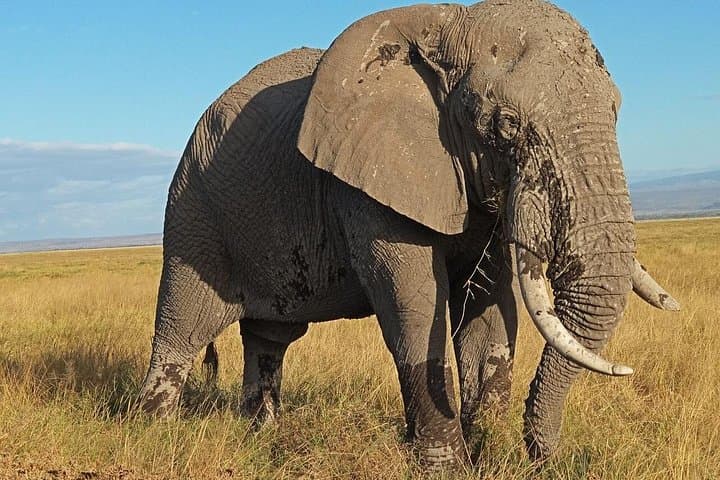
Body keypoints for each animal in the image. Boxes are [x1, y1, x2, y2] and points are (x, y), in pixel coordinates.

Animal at [138, 0, 680, 469]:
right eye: (505, 126)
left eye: (616, 110)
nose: (542, 457)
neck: (446, 27)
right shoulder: (366, 177)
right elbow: (414, 302)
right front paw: (449, 467)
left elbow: (490, 308)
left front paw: (489, 454)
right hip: (194, 210)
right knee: (182, 329)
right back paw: (154, 433)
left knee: (270, 338)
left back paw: (262, 436)